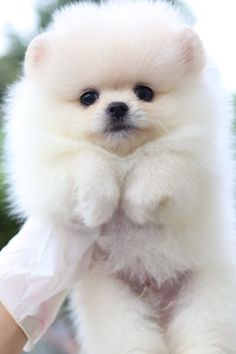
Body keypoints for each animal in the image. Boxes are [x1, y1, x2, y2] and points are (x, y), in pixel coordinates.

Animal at [3, 0, 236, 352]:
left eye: (145, 92)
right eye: (88, 97)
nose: (117, 107)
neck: (123, 157)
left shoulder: (199, 159)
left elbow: (166, 160)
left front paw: (140, 202)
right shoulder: (45, 164)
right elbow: (82, 161)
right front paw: (99, 200)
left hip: (205, 295)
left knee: (205, 335)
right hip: (116, 306)